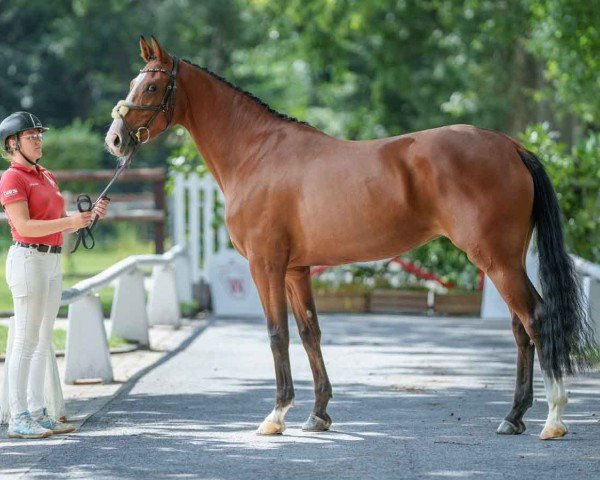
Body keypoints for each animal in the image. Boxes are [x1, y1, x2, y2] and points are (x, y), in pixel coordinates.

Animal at [104, 37, 596, 440]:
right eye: (133, 82)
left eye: (152, 87)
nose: (115, 140)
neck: (257, 153)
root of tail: (512, 146)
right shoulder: (297, 269)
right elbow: (310, 333)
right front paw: (318, 414)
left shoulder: (265, 265)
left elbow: (277, 333)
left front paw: (276, 415)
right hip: (505, 260)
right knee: (520, 329)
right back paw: (513, 417)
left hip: (495, 259)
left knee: (536, 319)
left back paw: (553, 420)